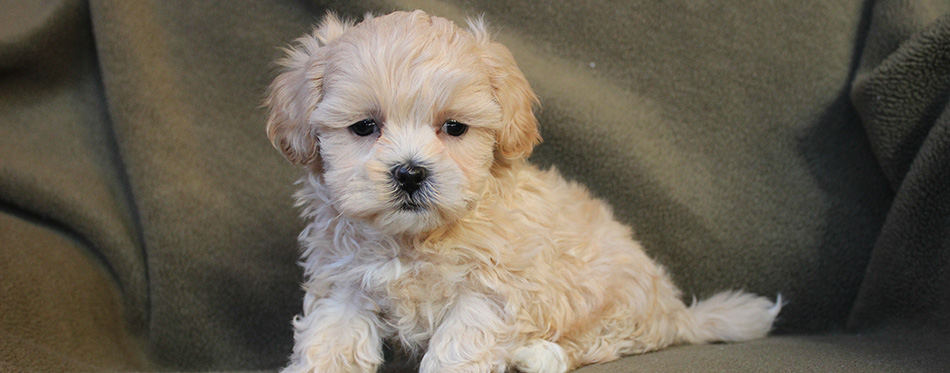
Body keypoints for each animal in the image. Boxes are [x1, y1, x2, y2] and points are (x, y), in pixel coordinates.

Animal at [266, 10, 780, 370]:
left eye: (454, 127)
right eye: (364, 127)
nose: (410, 173)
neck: (416, 239)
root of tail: (676, 313)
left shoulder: (492, 291)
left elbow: (459, 346)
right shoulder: (344, 285)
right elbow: (330, 339)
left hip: (613, 300)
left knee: (601, 342)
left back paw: (539, 355)